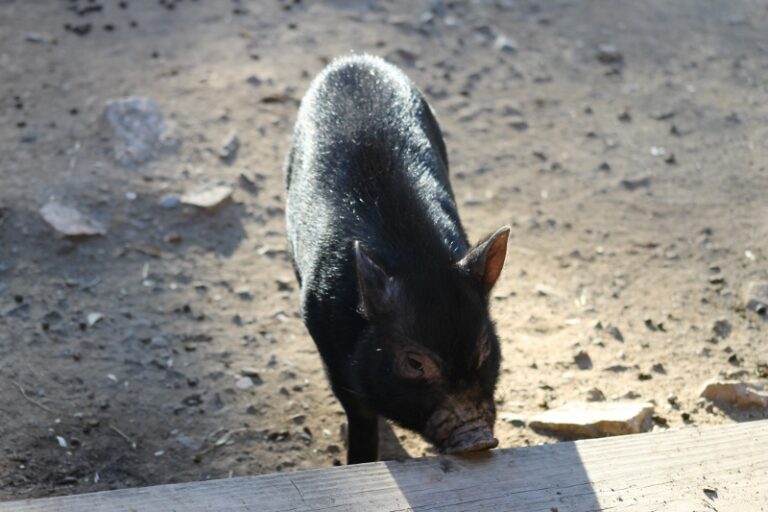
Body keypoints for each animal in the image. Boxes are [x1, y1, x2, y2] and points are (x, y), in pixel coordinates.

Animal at [285, 54, 509, 464]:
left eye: (485, 349)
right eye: (414, 363)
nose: (479, 438)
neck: (417, 258)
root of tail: (352, 60)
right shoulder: (329, 348)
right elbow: (360, 417)